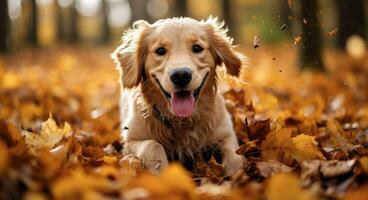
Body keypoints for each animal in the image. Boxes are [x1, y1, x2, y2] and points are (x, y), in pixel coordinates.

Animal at [110, 16, 246, 175]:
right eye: (160, 50)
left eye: (197, 48)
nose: (181, 75)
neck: (182, 121)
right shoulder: (130, 141)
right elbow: (153, 145)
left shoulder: (226, 134)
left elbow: (235, 157)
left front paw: (236, 176)